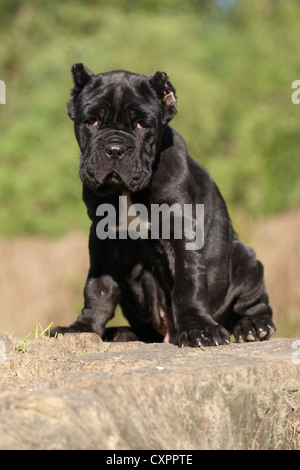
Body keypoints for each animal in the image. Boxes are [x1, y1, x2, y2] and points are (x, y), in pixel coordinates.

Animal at [50, 63, 276, 346]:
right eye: (91, 121)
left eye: (142, 125)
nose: (114, 149)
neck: (126, 192)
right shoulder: (101, 238)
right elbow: (98, 288)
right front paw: (82, 328)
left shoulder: (181, 230)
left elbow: (188, 285)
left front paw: (199, 328)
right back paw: (120, 333)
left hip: (245, 258)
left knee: (253, 302)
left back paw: (254, 326)